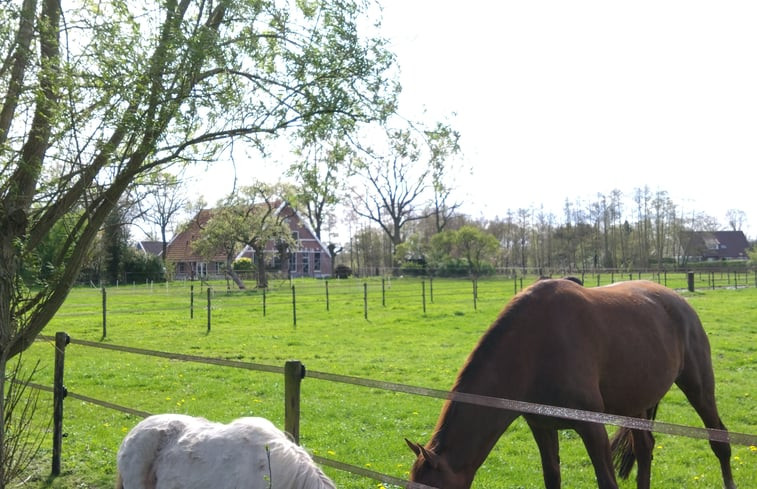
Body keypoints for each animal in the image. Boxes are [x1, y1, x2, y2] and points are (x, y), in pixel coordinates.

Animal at [404, 278, 736, 488]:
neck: (533, 347)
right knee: (644, 449)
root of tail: (679, 300)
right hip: (637, 401)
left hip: (698, 387)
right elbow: (552, 478)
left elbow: (607, 482)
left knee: (719, 440)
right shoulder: (541, 426)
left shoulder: (591, 427)